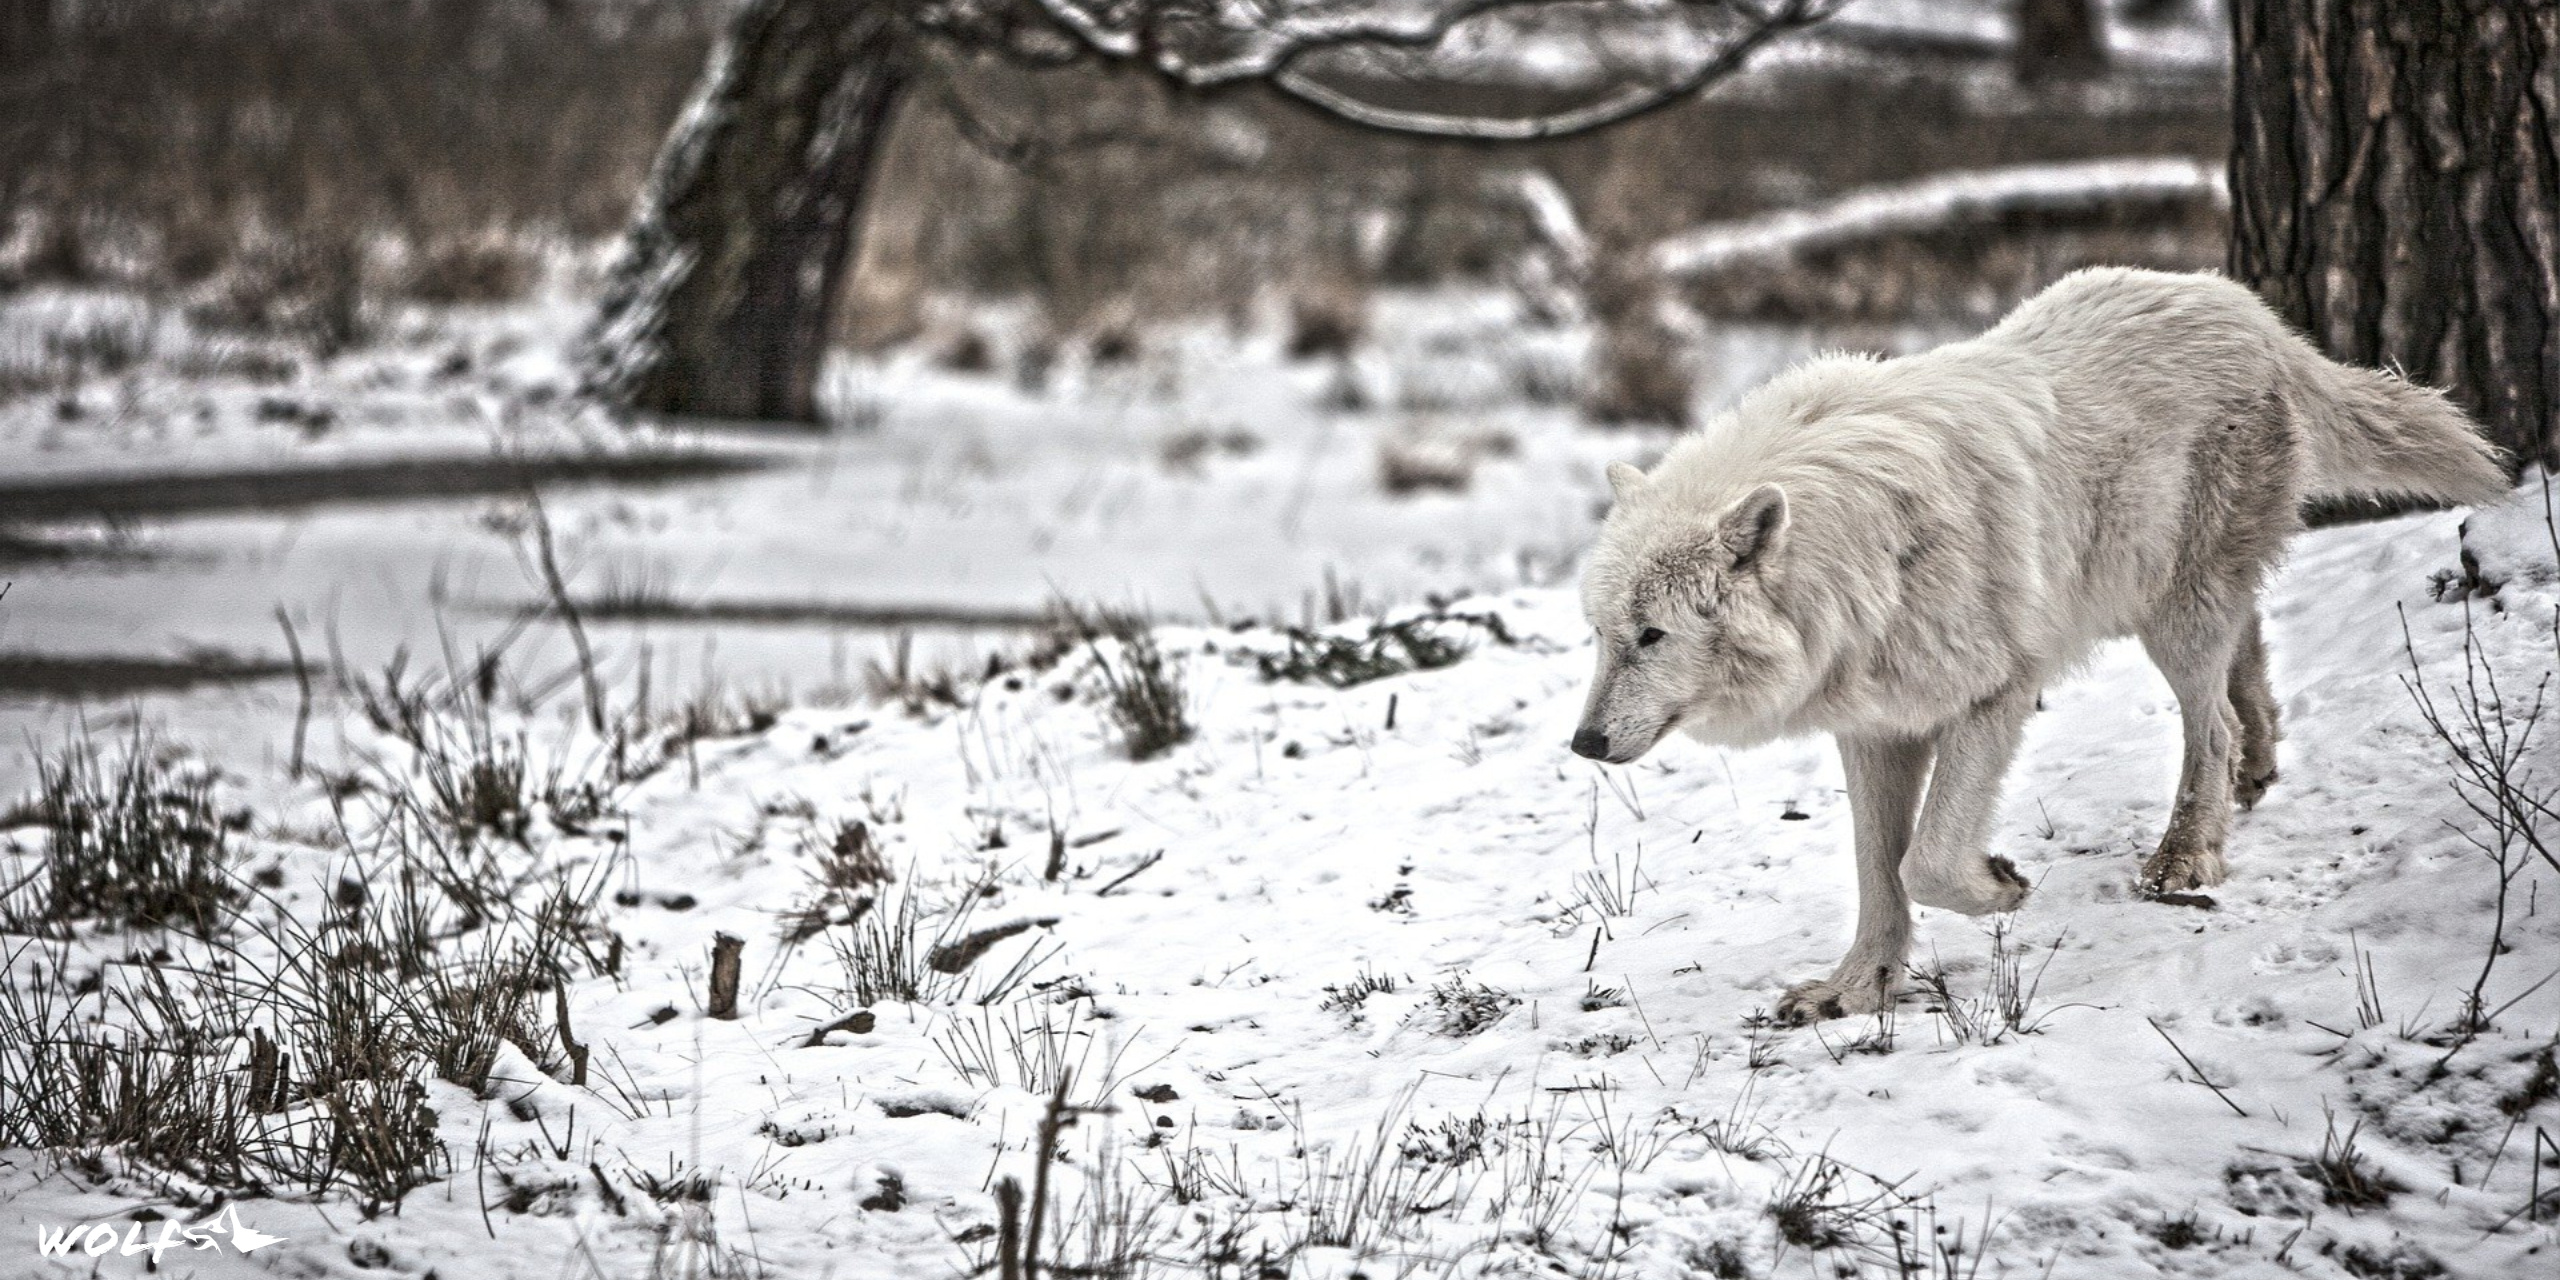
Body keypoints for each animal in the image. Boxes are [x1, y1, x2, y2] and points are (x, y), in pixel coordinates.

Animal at [1566, 267, 2508, 1018]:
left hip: (2172, 616)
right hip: (2160, 593)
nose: (1584, 743)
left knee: (2210, 723)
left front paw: (2001, 885)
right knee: (2246, 668)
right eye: (1602, 635)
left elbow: (1925, 862)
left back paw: (2184, 856)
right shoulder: (1874, 727)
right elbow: (1879, 869)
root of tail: (2253, 314)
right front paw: (1857, 989)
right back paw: (2257, 770)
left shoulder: (1995, 693)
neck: (1861, 560)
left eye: (1652, 635)